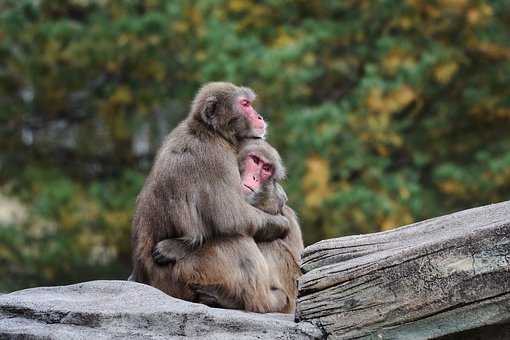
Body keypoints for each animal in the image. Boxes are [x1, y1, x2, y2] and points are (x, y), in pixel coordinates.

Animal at [130, 83, 290, 290]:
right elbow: (232, 217)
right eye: (245, 104)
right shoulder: (217, 157)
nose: (259, 116)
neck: (209, 130)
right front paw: (282, 221)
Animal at [151, 139, 302, 314]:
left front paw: (174, 248)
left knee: (268, 244)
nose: (255, 177)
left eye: (266, 168)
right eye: (255, 160)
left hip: (289, 285)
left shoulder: (268, 202)